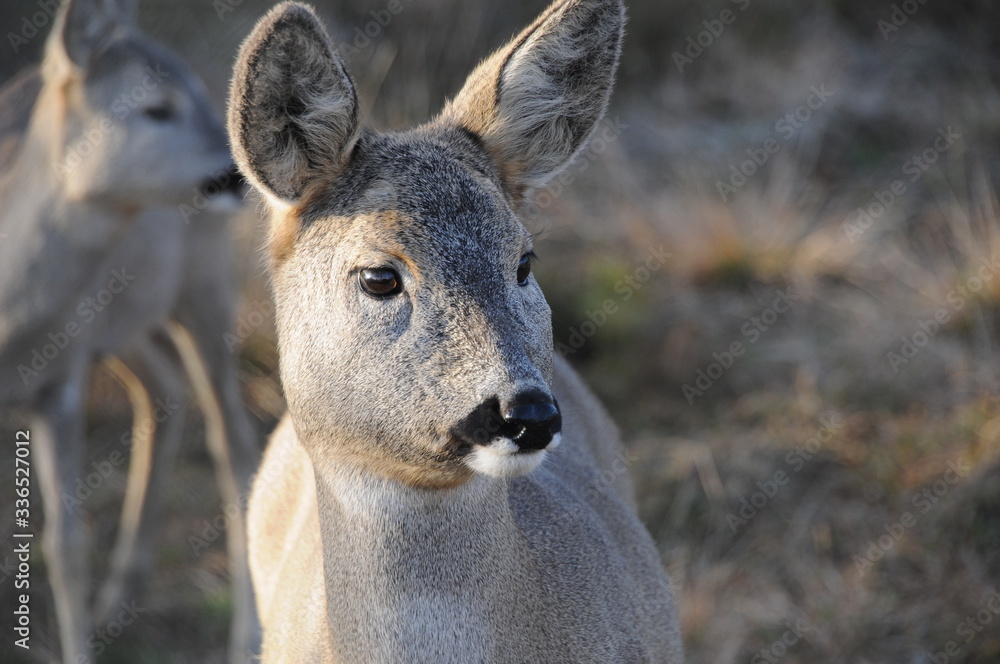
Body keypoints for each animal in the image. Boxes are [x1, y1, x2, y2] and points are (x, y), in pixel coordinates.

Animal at [0, 0, 259, 662]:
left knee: (232, 438)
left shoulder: (60, 382)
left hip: (202, 286)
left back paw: (245, 635)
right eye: (156, 108)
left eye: (195, 97)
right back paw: (118, 598)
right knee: (163, 390)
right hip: (123, 318)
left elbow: (64, 546)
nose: (237, 171)